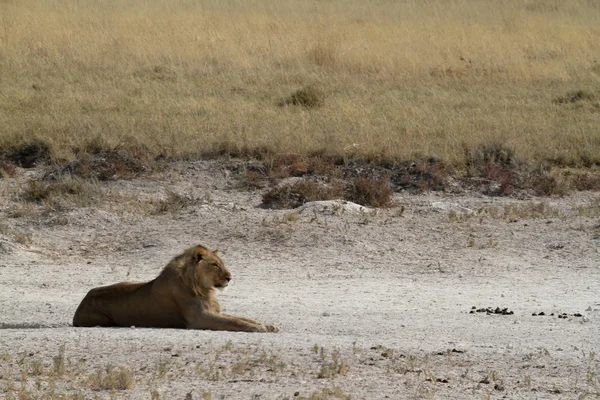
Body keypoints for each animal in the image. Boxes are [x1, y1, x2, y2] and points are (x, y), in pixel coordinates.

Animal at [74, 245, 280, 332]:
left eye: (222, 263)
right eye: (215, 265)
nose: (230, 277)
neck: (204, 288)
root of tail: (82, 302)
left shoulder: (213, 312)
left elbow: (241, 318)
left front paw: (268, 325)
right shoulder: (200, 318)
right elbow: (234, 322)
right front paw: (259, 328)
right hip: (103, 320)